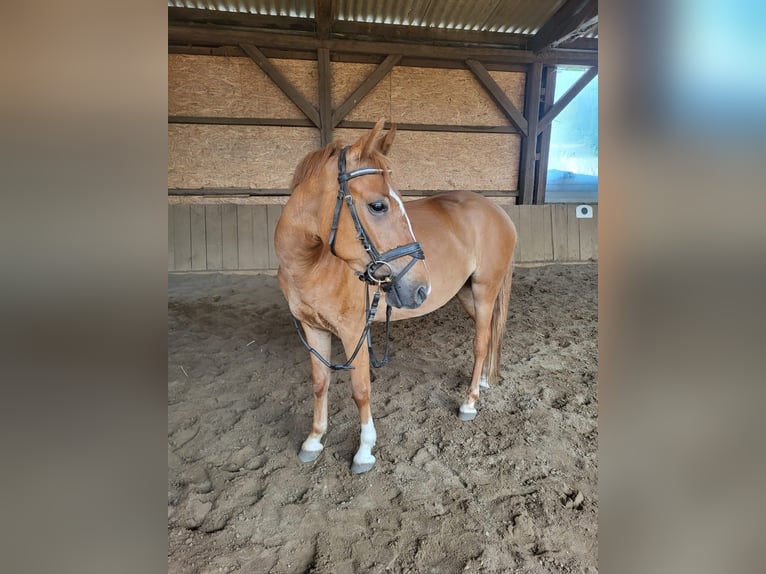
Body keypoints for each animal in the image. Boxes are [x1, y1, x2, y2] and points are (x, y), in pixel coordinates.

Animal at [275, 118, 517, 473]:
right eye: (378, 205)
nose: (420, 287)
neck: (311, 263)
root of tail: (499, 212)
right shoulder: (313, 329)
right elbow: (320, 384)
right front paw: (313, 440)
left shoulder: (354, 332)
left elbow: (361, 390)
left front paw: (364, 451)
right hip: (466, 294)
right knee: (489, 338)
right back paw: (485, 380)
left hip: (486, 290)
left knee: (481, 341)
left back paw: (470, 402)